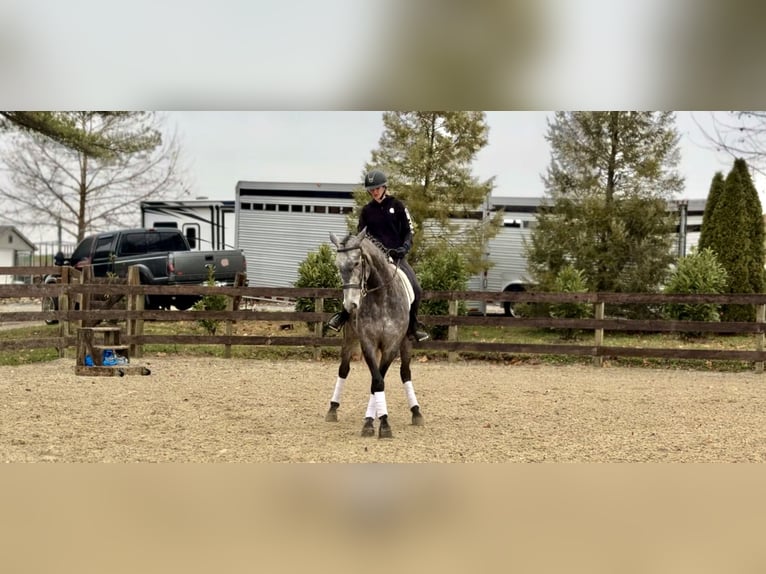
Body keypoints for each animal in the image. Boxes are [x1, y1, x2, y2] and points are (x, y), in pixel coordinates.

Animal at [326, 228, 424, 438]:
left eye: (357, 263)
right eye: (338, 266)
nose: (351, 304)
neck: (381, 297)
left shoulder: (391, 345)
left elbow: (378, 380)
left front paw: (382, 423)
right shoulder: (368, 343)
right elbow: (377, 380)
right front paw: (372, 422)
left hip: (406, 342)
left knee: (405, 373)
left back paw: (416, 412)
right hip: (349, 338)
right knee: (343, 370)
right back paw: (333, 408)